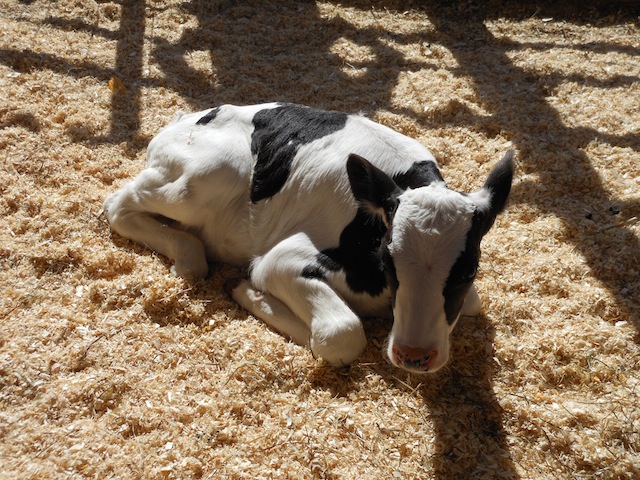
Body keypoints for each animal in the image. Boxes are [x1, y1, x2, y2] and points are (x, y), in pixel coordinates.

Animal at [104, 103, 514, 373]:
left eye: (469, 271)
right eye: (387, 261)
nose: (414, 355)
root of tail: (184, 118)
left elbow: (472, 303)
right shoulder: (280, 260)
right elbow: (340, 334)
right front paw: (249, 292)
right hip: (204, 179)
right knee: (119, 205)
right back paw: (188, 256)